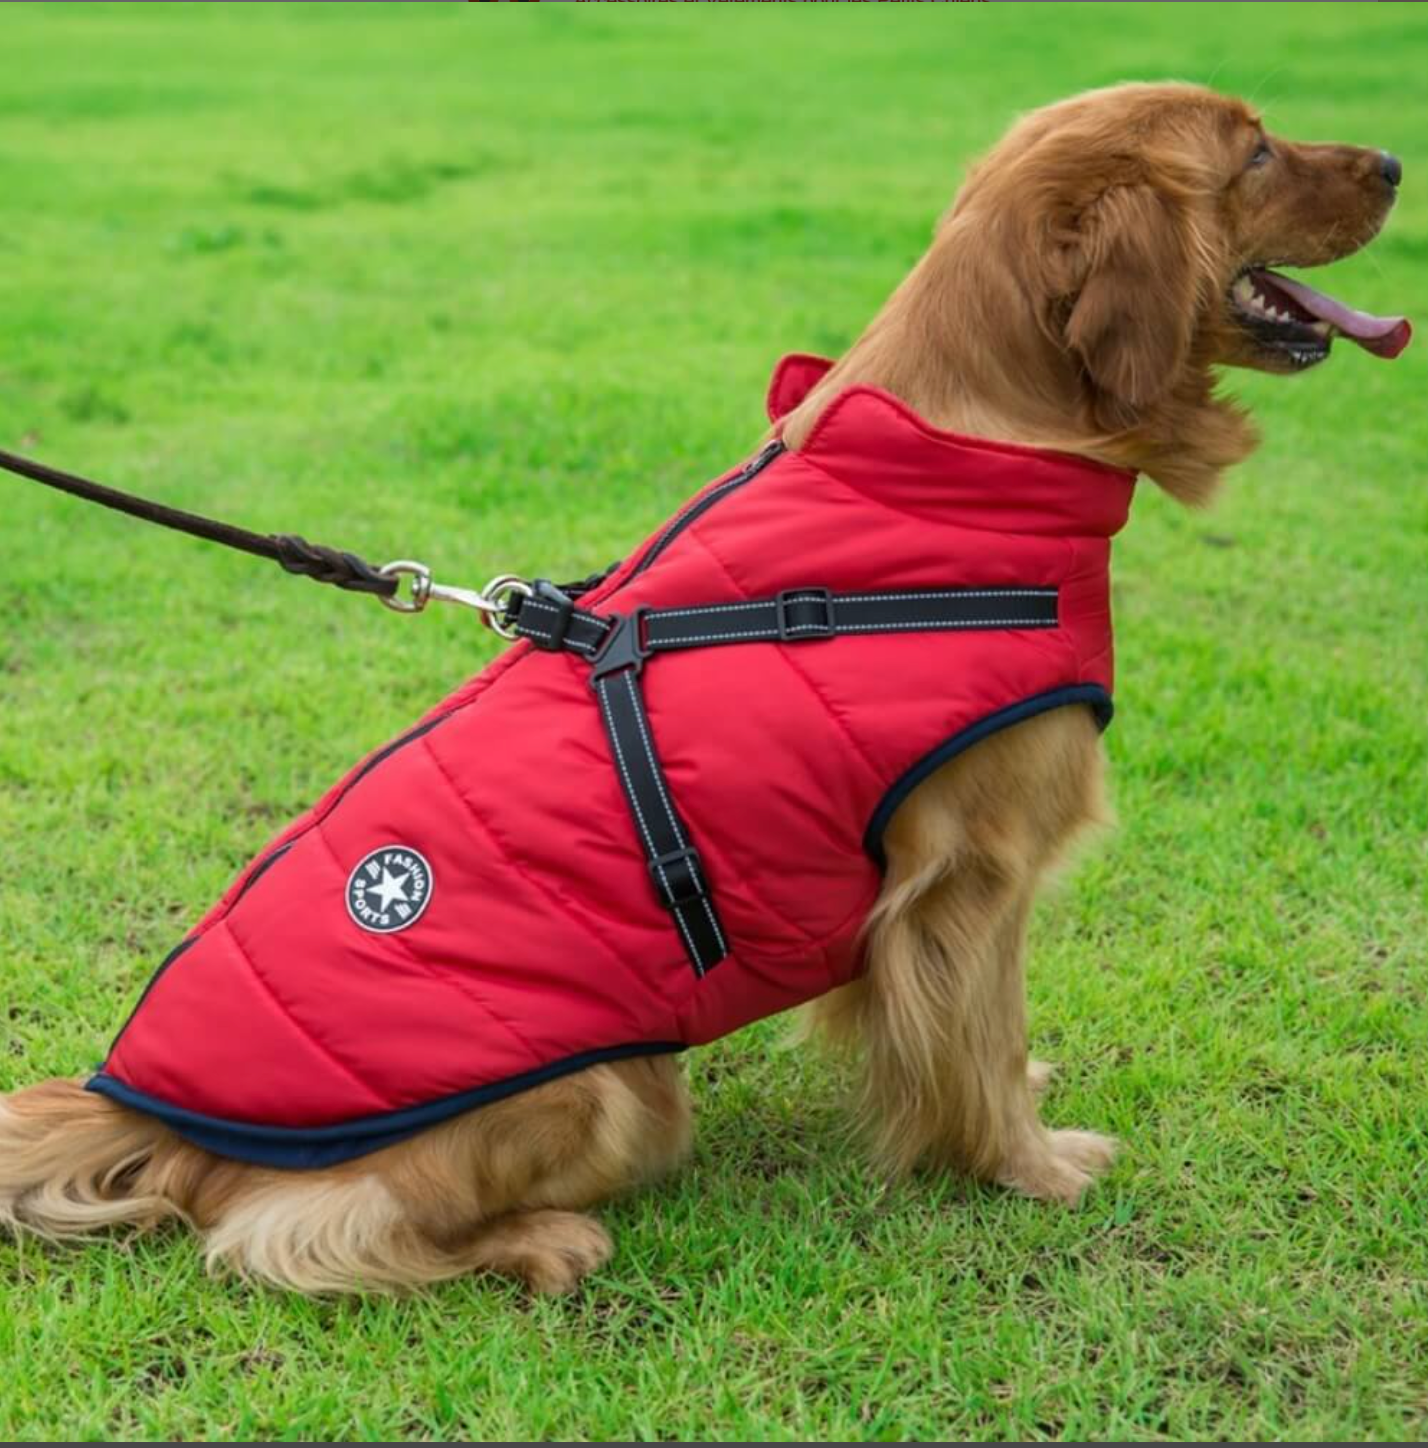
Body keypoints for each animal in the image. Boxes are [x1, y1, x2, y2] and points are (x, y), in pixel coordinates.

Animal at [0, 84, 1401, 1297]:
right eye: (1257, 151)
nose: (1394, 160)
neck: (968, 448)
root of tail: (135, 1104)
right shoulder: (972, 872)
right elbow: (982, 1040)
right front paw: (1030, 1164)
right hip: (613, 1088)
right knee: (291, 1230)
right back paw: (543, 1241)